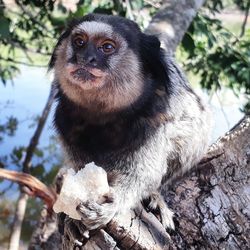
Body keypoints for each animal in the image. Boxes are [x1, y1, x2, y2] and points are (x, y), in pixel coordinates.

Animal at [49, 13, 213, 232]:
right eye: (79, 42)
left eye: (107, 47)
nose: (84, 58)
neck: (103, 117)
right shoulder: (65, 122)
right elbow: (80, 163)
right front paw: (69, 212)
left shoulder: (154, 124)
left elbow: (142, 173)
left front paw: (113, 204)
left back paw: (155, 196)